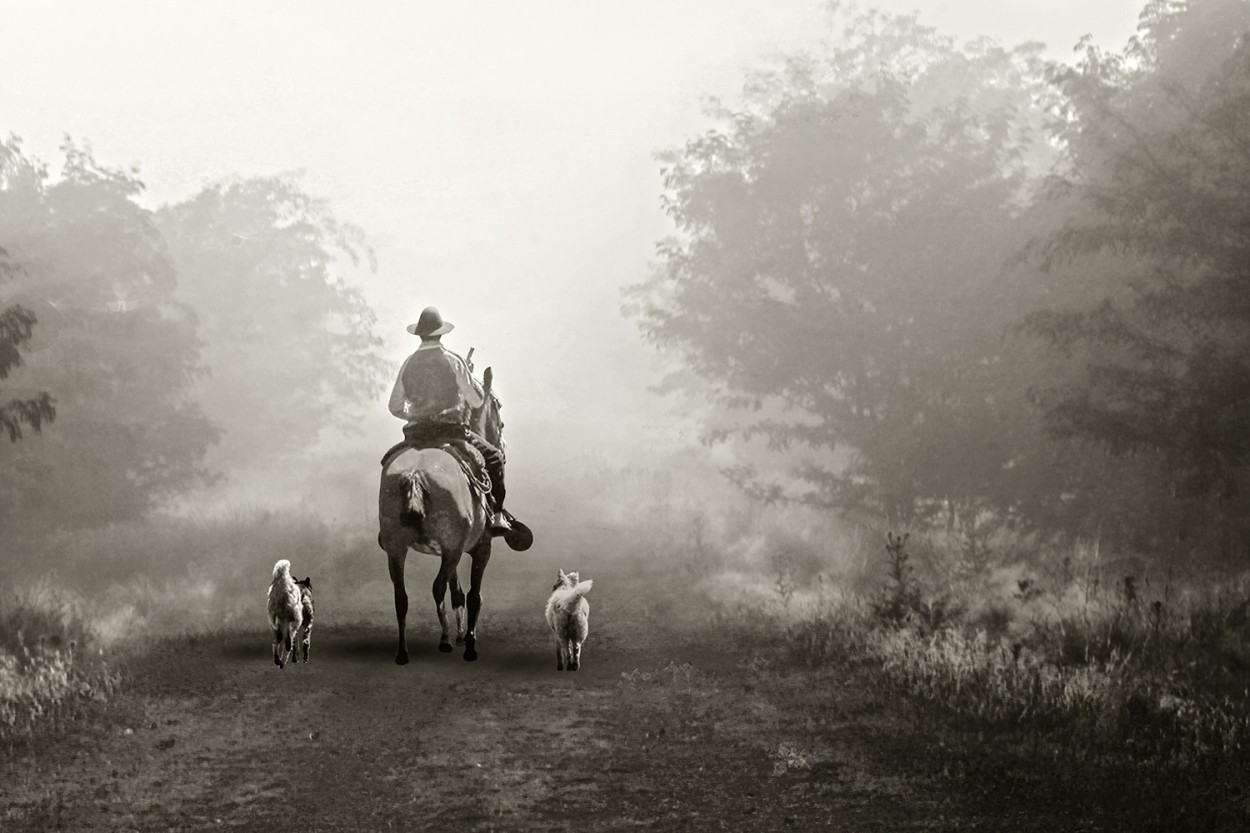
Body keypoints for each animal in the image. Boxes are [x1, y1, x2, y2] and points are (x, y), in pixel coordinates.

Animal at [375, 362, 502, 660]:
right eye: (497, 411)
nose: (501, 439)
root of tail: (415, 473)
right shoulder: (480, 547)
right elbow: (473, 594)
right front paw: (469, 641)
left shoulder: (451, 549)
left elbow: (457, 592)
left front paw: (461, 634)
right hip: (451, 549)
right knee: (436, 587)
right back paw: (443, 638)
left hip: (397, 549)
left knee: (401, 596)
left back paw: (403, 652)